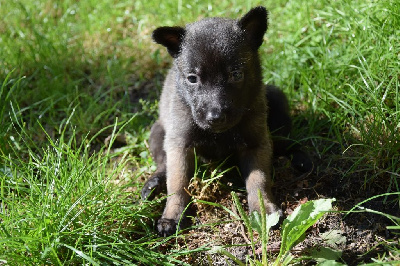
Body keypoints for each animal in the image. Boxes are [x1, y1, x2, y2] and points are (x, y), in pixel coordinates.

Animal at [142, 6, 310, 236]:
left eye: (236, 74)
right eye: (192, 78)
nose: (215, 116)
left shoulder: (256, 144)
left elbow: (259, 181)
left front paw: (264, 210)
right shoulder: (180, 145)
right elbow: (177, 183)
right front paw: (172, 215)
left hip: (277, 107)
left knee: (289, 142)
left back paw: (300, 158)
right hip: (158, 132)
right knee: (163, 164)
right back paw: (154, 182)